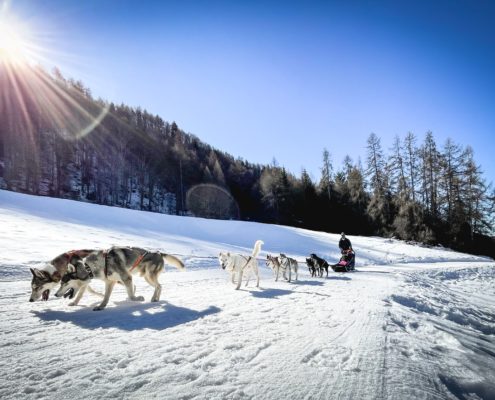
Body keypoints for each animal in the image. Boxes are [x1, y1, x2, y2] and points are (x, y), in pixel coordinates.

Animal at [54, 247, 186, 310]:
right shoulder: (110, 282)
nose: (55, 294)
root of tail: (158, 253)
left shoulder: (127, 278)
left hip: (148, 276)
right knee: (159, 286)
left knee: (158, 286)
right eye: (60, 283)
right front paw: (100, 306)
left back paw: (154, 298)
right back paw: (156, 299)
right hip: (146, 277)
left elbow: (132, 295)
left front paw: (138, 298)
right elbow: (105, 297)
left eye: (64, 283)